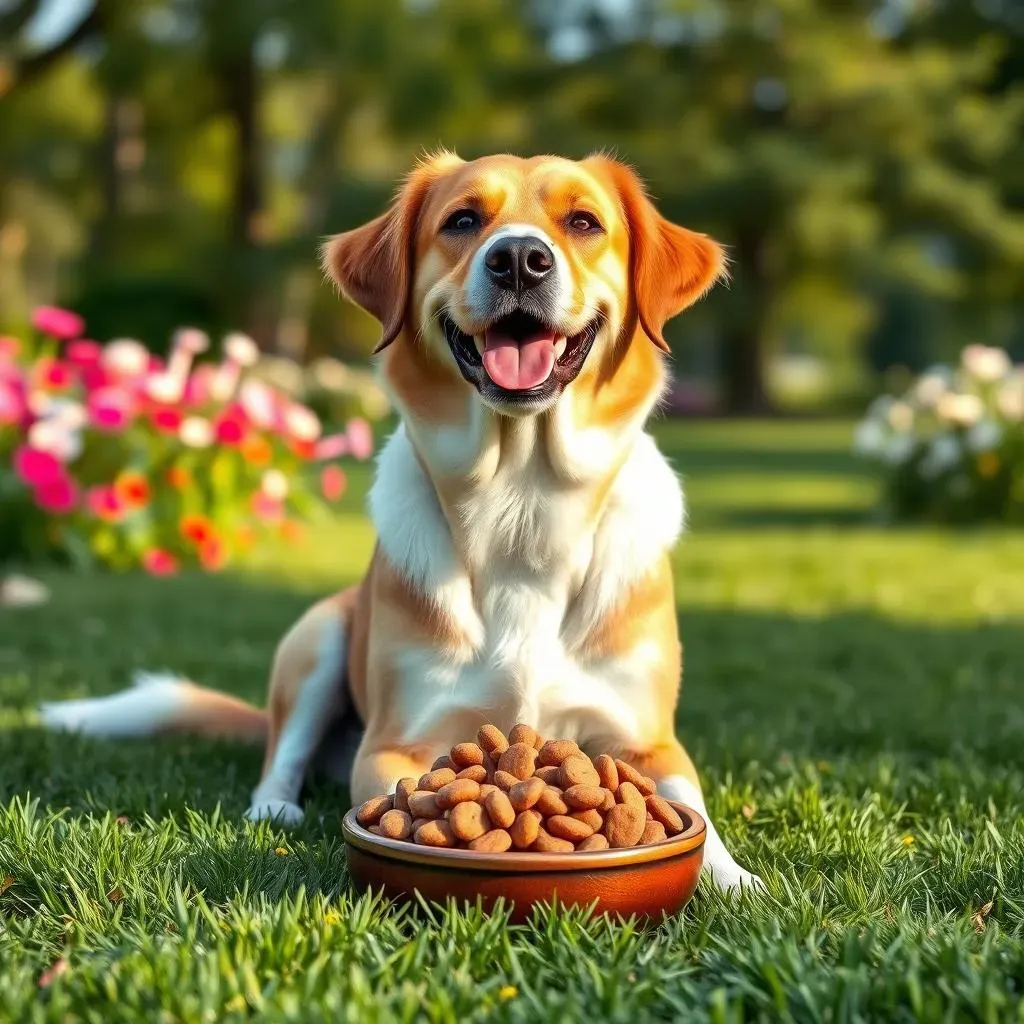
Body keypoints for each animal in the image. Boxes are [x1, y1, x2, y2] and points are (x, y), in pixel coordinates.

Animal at [39, 148, 761, 892]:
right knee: (281, 754)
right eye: (463, 220)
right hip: (316, 640)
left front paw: (733, 876)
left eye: (584, 222)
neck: (522, 506)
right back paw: (275, 808)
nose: (520, 259)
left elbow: (688, 810)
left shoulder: (649, 743)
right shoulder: (396, 746)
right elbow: (401, 794)